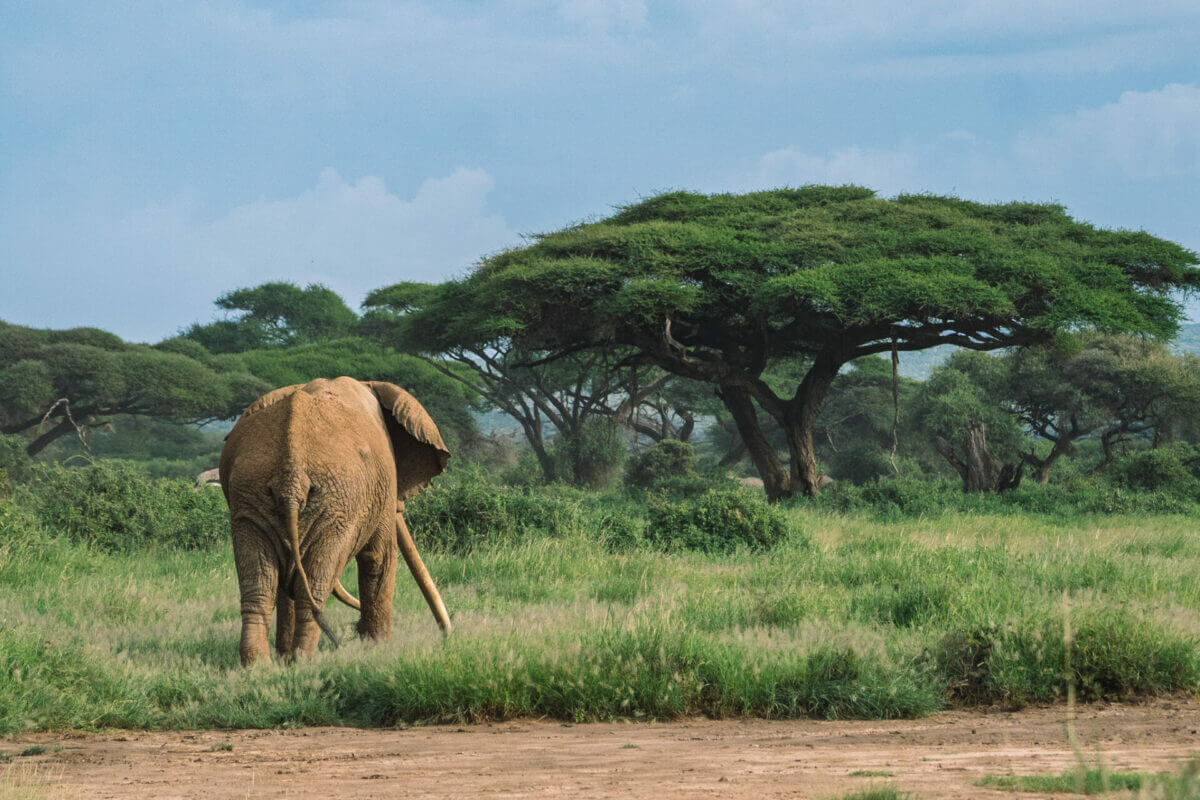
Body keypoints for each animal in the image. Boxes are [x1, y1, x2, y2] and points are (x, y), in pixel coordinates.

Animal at [219, 376, 452, 667]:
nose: (446, 638)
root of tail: (291, 473)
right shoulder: (384, 484)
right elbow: (379, 558)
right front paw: (377, 651)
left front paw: (283, 660)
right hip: (335, 507)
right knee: (313, 584)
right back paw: (302, 662)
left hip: (252, 495)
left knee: (261, 587)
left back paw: (259, 666)